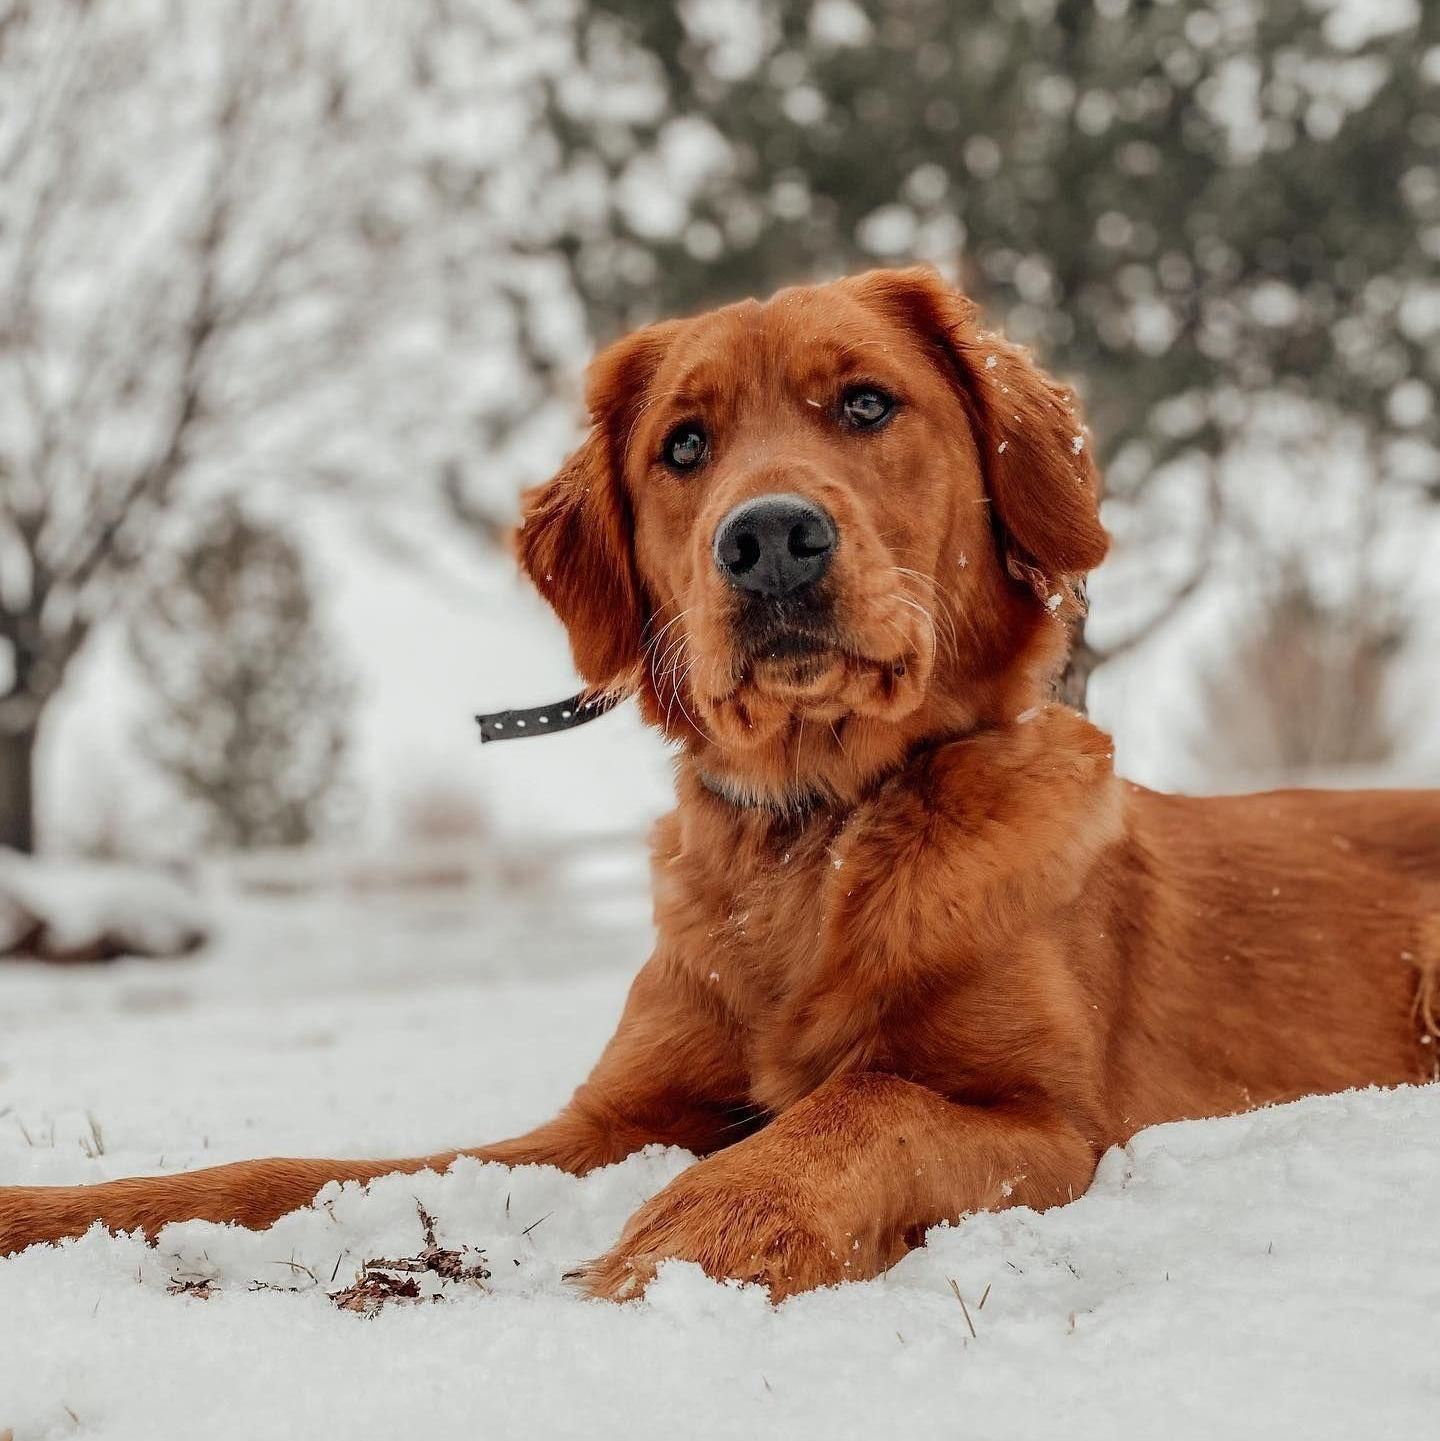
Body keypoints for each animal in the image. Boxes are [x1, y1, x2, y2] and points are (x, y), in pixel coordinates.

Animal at [2, 268, 1440, 1296]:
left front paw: (701, 1235)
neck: (819, 835)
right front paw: (60, 1213)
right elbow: (287, 1170)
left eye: (866, 405)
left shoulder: (1047, 1116)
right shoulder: (611, 1113)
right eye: (684, 447)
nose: (771, 540)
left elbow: (860, 1101)